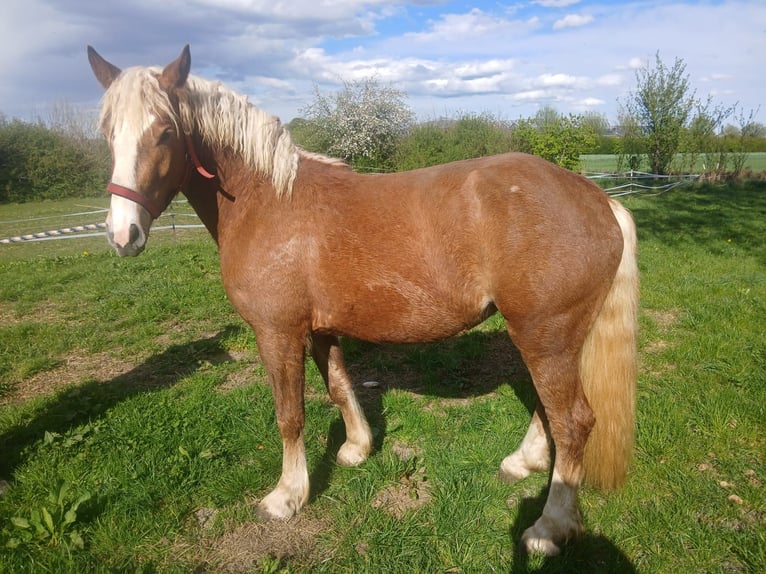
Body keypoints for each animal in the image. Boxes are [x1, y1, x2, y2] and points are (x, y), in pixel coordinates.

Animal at [87, 45, 638, 556]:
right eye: (107, 132)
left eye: (164, 131)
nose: (122, 234)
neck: (267, 200)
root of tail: (598, 200)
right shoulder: (319, 328)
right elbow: (338, 385)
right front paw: (357, 448)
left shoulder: (277, 332)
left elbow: (290, 414)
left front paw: (287, 496)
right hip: (546, 338)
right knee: (549, 409)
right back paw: (523, 463)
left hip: (546, 335)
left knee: (573, 422)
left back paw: (549, 528)